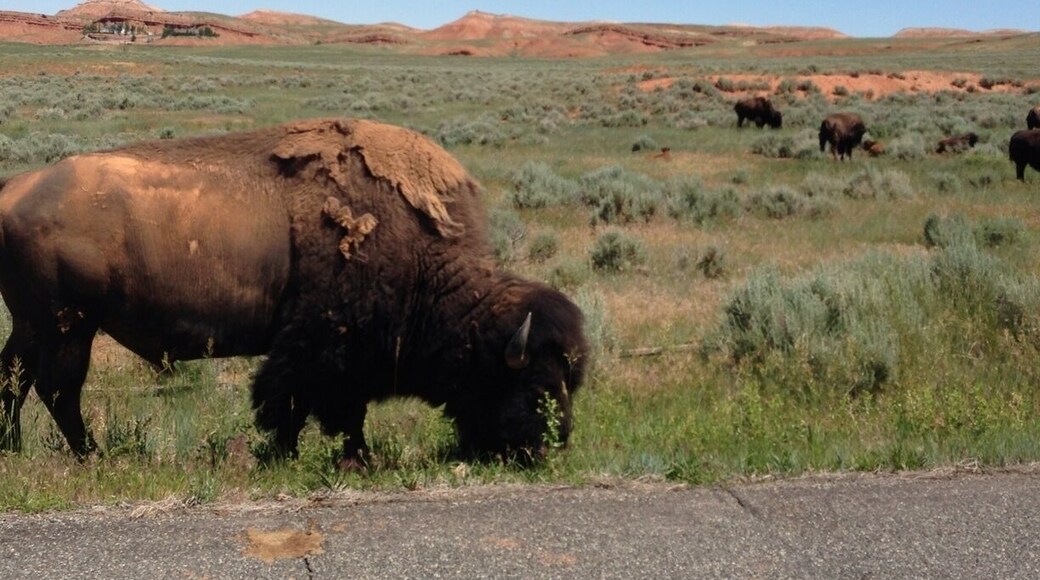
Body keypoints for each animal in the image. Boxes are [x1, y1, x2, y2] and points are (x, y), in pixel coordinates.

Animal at [0, 118, 588, 465]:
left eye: (571, 380)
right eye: (535, 383)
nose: (553, 447)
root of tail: (15, 188)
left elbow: (324, 405)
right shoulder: (324, 345)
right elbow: (310, 403)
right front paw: (331, 458)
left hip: (36, 326)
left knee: (16, 381)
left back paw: (16, 450)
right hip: (69, 325)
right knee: (58, 390)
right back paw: (92, 457)